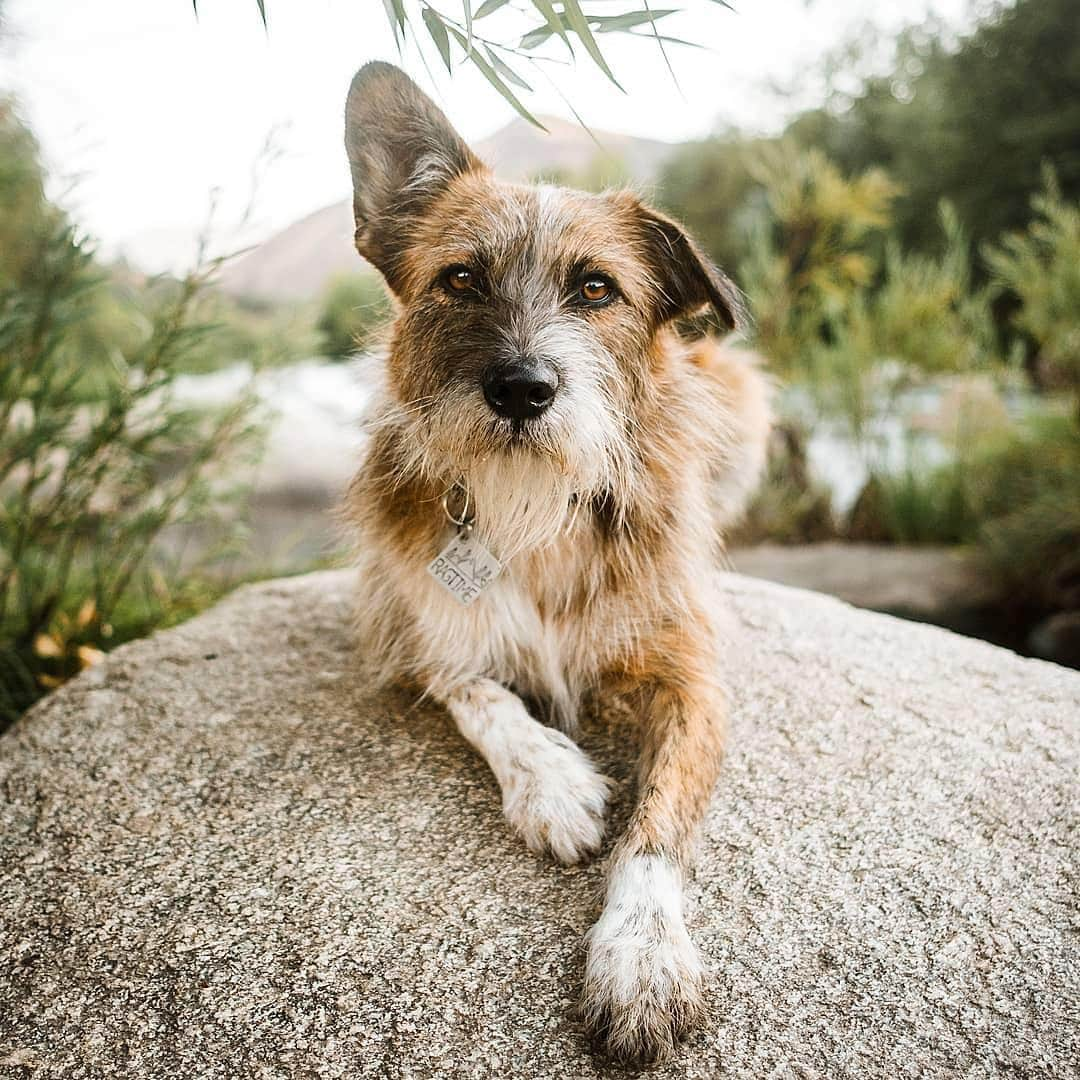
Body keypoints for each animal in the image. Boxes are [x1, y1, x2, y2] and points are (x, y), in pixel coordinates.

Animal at [341, 61, 773, 1062]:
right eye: (461, 278)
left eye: (598, 290)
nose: (522, 389)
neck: (533, 507)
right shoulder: (410, 629)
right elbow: (478, 693)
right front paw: (554, 781)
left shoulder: (693, 677)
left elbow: (656, 830)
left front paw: (642, 957)